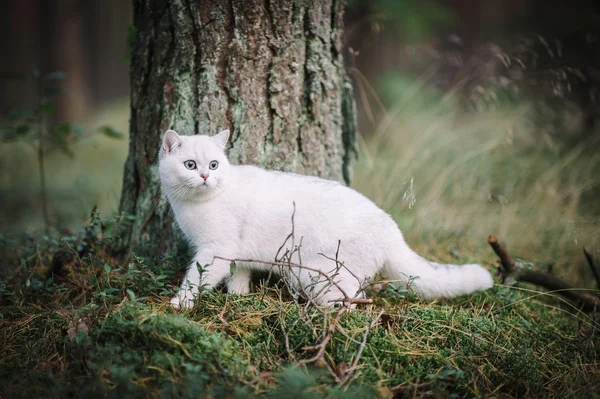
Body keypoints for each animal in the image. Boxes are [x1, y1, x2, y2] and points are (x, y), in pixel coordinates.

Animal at [159, 130, 492, 310]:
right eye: (191, 165)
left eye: (214, 165)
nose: (205, 176)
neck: (194, 205)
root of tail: (391, 228)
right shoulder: (238, 252)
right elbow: (240, 273)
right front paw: (240, 294)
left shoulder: (215, 250)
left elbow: (196, 279)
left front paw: (181, 302)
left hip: (321, 277)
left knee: (355, 301)